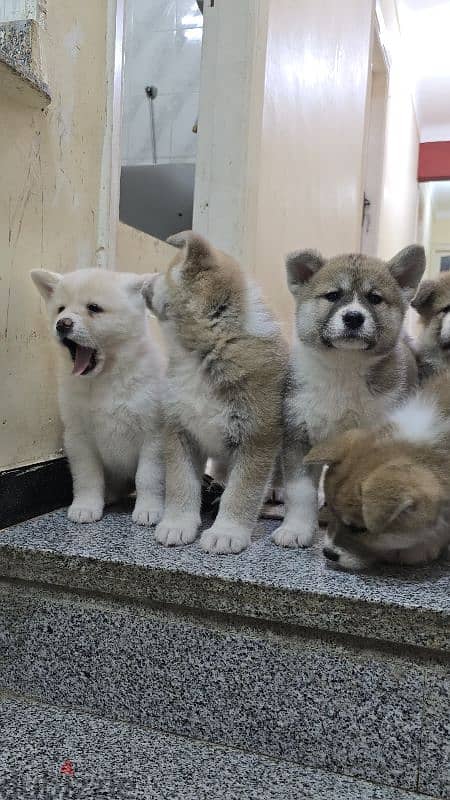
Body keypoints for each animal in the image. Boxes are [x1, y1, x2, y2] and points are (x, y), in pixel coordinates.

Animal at [31, 268, 165, 524]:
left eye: (94, 308)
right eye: (61, 309)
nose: (62, 324)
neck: (106, 379)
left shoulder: (153, 434)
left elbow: (148, 477)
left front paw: (148, 510)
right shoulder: (79, 436)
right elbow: (87, 477)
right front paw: (86, 506)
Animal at [142, 234, 286, 552]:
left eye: (166, 271)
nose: (142, 281)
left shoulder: (256, 439)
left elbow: (242, 492)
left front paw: (227, 531)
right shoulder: (179, 432)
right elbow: (181, 484)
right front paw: (178, 523)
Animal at [270, 247, 426, 552]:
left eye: (375, 298)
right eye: (332, 295)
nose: (353, 317)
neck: (344, 369)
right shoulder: (299, 434)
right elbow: (301, 491)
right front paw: (296, 528)